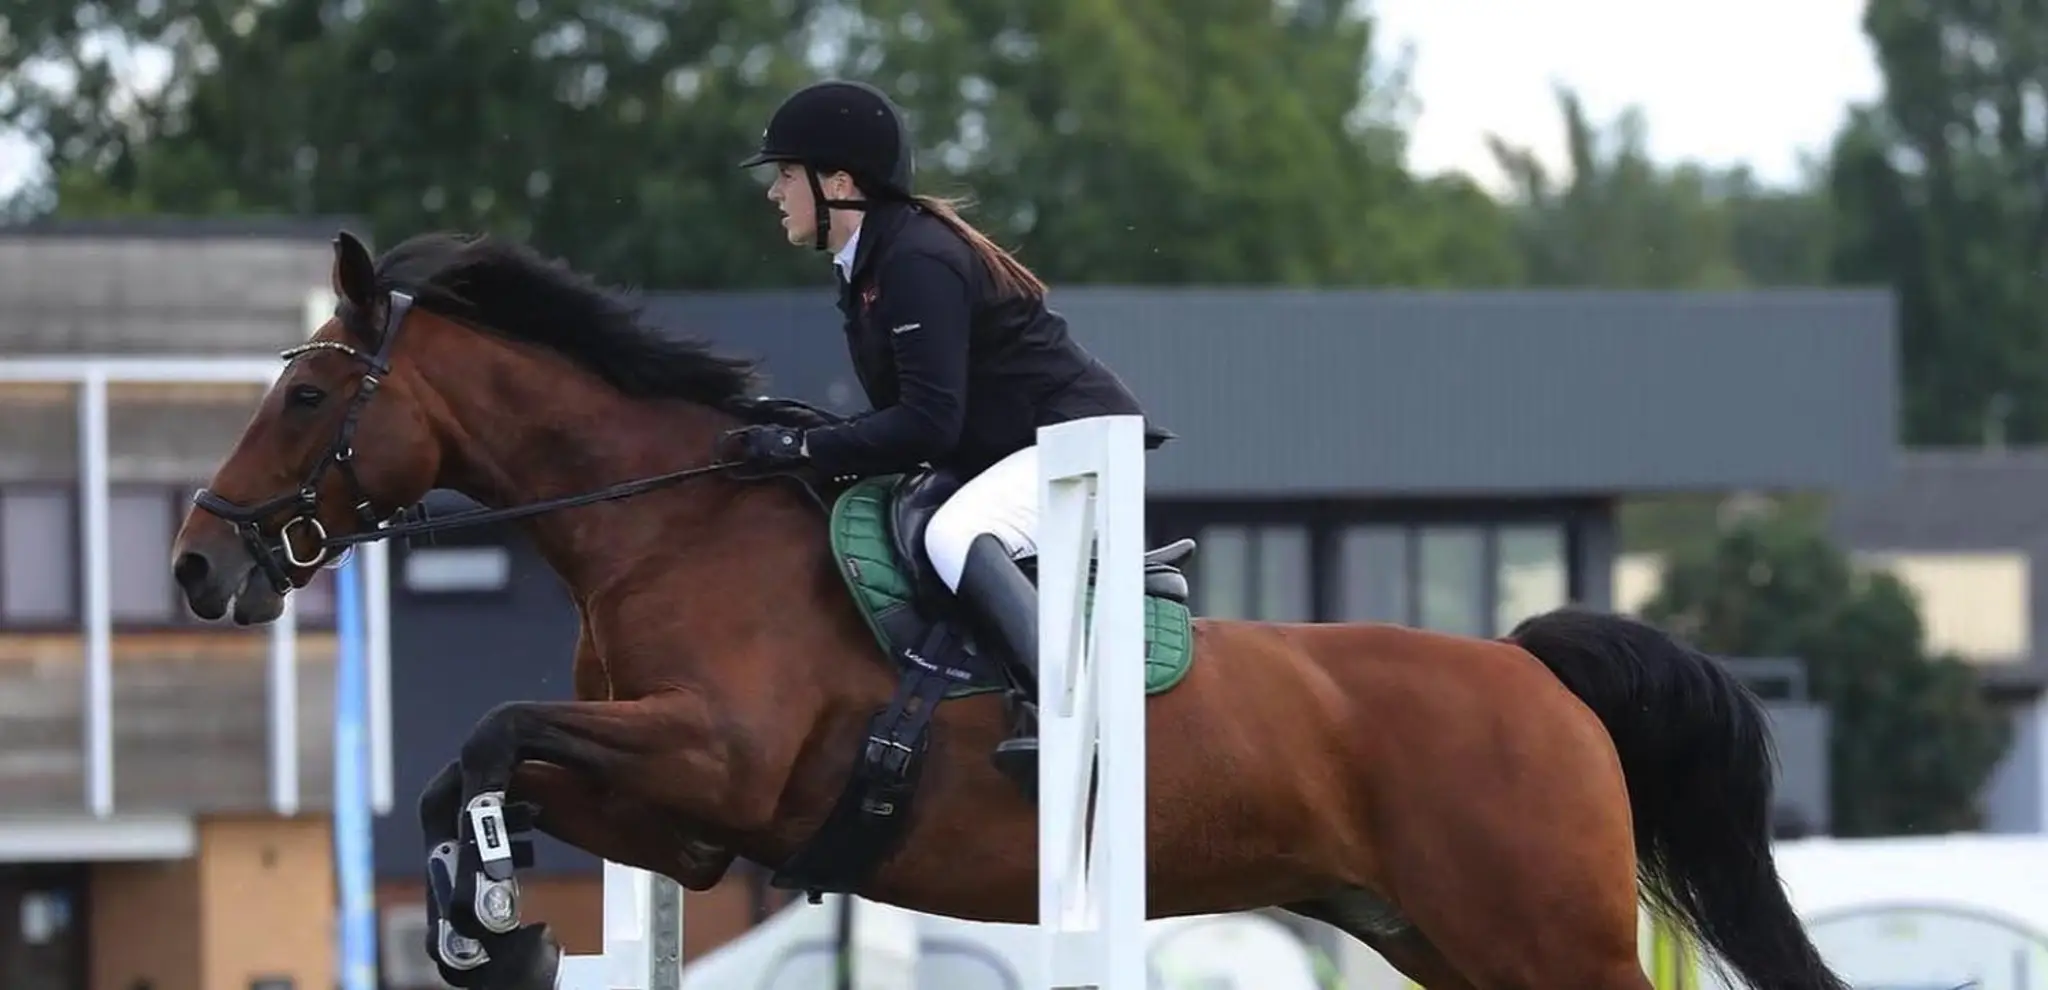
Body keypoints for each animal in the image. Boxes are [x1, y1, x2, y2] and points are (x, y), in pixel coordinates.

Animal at [168, 229, 1849, 990]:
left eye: (305, 395)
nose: (196, 565)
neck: (666, 529)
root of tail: (1533, 670)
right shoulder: (690, 819)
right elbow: (489, 758)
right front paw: (484, 913)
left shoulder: (714, 755)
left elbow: (494, 728)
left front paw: (484, 911)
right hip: (1444, 935)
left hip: (1543, 928)